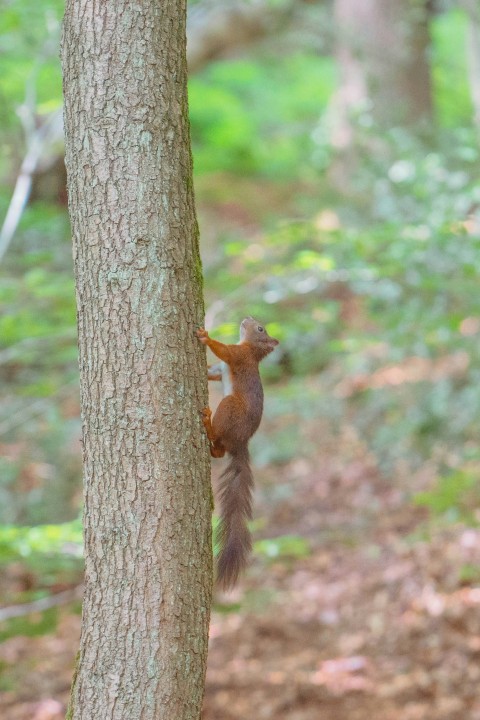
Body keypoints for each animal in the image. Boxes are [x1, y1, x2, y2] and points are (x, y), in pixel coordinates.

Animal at [196, 317, 279, 590]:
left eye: (260, 328)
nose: (246, 319)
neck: (250, 348)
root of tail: (241, 443)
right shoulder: (219, 370)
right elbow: (212, 371)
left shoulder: (237, 356)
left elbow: (224, 350)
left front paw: (205, 336)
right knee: (220, 452)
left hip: (229, 407)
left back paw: (208, 422)